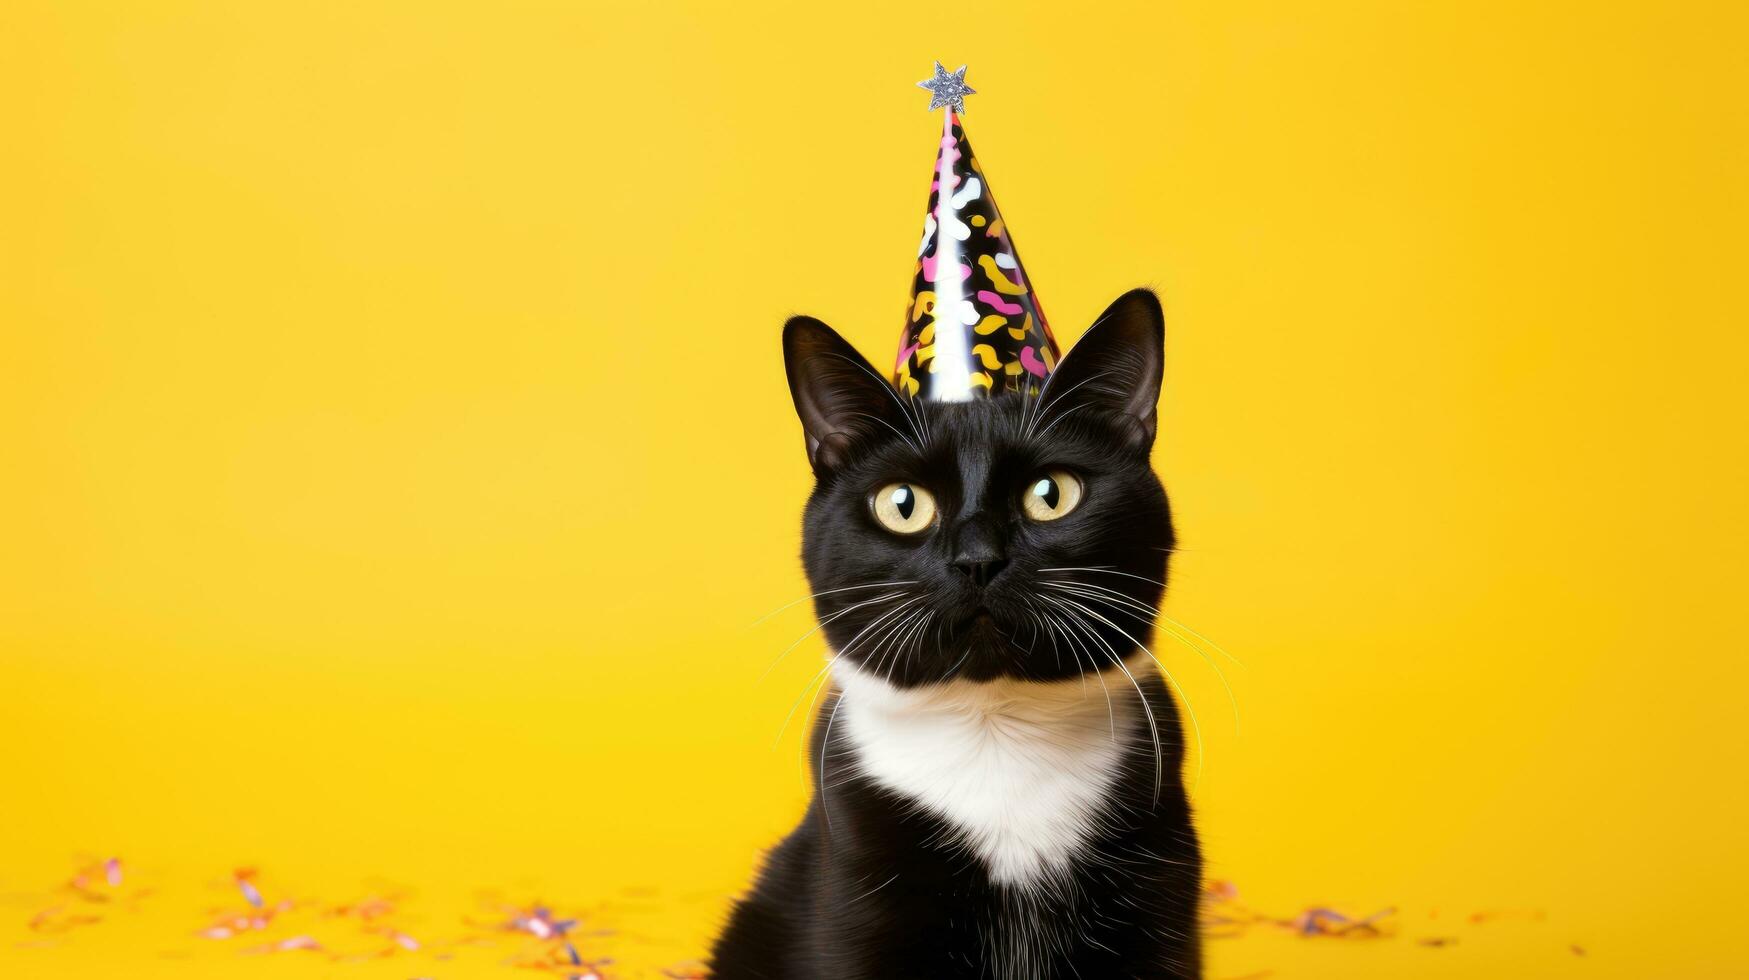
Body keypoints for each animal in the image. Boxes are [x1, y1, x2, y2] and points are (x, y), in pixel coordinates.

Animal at [710, 287, 1203, 973]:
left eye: (1051, 494)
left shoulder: (1159, 877)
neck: (994, 733)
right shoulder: (855, 878)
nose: (977, 558)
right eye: (903, 504)